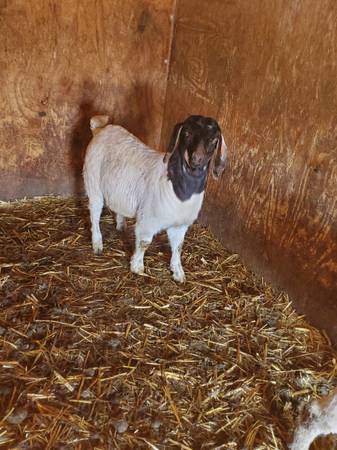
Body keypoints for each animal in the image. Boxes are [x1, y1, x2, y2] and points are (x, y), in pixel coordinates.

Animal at [82, 114, 227, 282]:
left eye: (213, 140)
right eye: (187, 133)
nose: (197, 159)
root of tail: (100, 129)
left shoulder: (180, 224)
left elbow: (178, 247)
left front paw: (178, 272)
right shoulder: (148, 219)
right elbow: (144, 242)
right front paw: (137, 267)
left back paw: (120, 225)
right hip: (92, 182)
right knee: (94, 213)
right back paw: (97, 244)